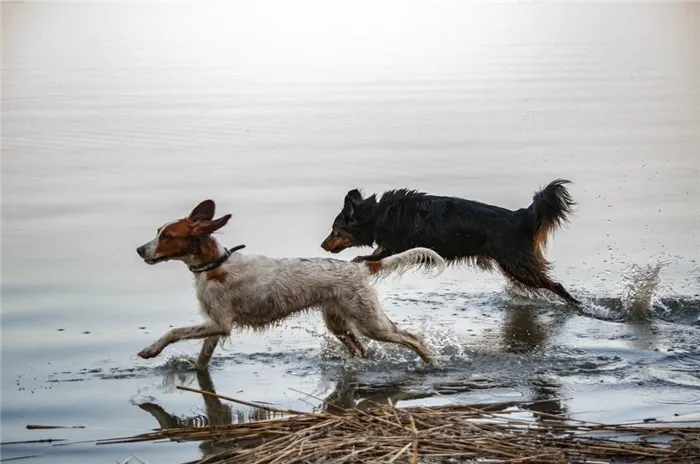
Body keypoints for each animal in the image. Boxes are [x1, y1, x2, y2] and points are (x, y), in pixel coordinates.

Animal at [322, 179, 580, 306]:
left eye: (334, 230)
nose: (323, 245)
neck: (377, 215)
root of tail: (521, 215)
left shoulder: (395, 248)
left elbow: (367, 258)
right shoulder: (389, 248)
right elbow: (368, 257)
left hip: (518, 265)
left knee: (556, 285)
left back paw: (575, 304)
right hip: (513, 267)